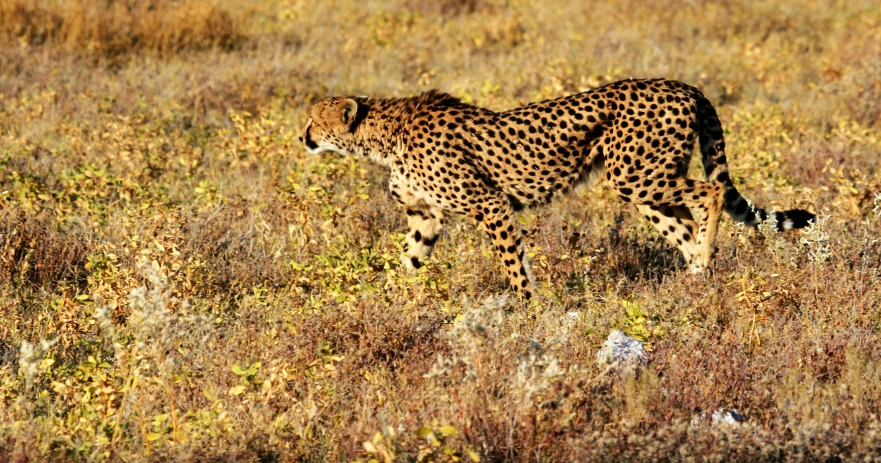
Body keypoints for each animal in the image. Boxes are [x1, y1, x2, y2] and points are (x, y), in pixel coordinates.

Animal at [300, 78, 816, 300]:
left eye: (314, 120)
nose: (302, 137)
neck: (382, 137)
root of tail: (682, 84)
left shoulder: (489, 203)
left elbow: (513, 265)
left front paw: (529, 309)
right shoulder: (425, 216)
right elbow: (408, 260)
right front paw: (381, 302)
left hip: (637, 173)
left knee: (709, 194)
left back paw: (704, 262)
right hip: (639, 185)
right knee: (685, 224)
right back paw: (694, 277)